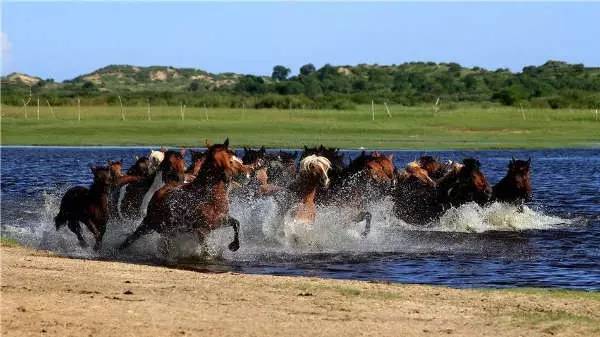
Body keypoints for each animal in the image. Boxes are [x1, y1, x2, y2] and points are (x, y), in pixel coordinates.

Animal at [118, 138, 250, 251]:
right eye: (213, 159)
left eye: (229, 157)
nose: (227, 175)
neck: (208, 197)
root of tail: (162, 188)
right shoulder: (202, 229)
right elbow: (205, 248)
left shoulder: (220, 221)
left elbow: (236, 223)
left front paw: (234, 245)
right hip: (150, 222)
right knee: (133, 237)